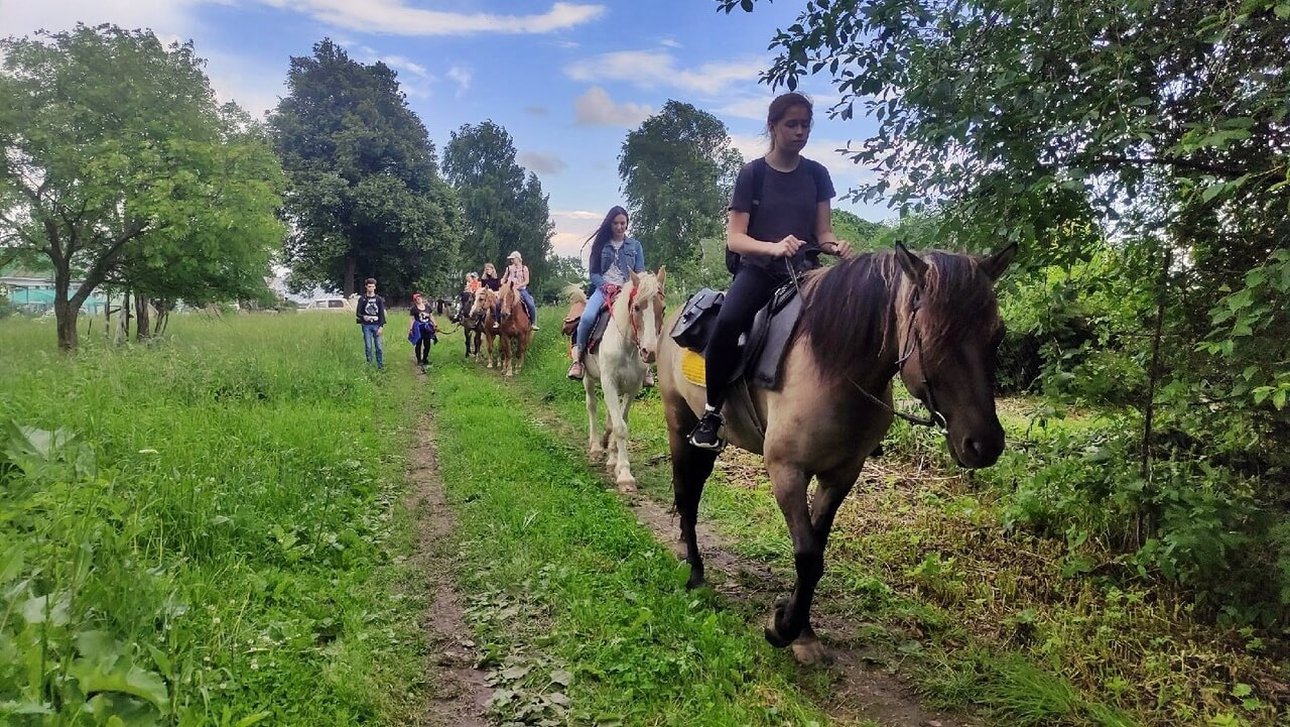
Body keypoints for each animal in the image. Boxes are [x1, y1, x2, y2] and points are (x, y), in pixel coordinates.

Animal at [577, 269, 670, 492]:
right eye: (636, 307)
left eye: (662, 308)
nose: (649, 351)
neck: (627, 347)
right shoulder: (609, 382)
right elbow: (620, 428)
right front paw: (625, 476)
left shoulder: (632, 388)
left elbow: (620, 422)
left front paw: (616, 463)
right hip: (588, 379)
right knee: (592, 406)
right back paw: (595, 447)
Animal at [660, 243, 1011, 665]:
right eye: (934, 335)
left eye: (997, 335)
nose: (985, 444)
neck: (834, 365)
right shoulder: (787, 471)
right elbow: (808, 556)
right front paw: (782, 628)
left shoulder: (841, 474)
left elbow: (815, 550)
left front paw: (802, 632)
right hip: (679, 424)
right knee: (687, 494)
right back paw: (695, 573)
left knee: (693, 490)